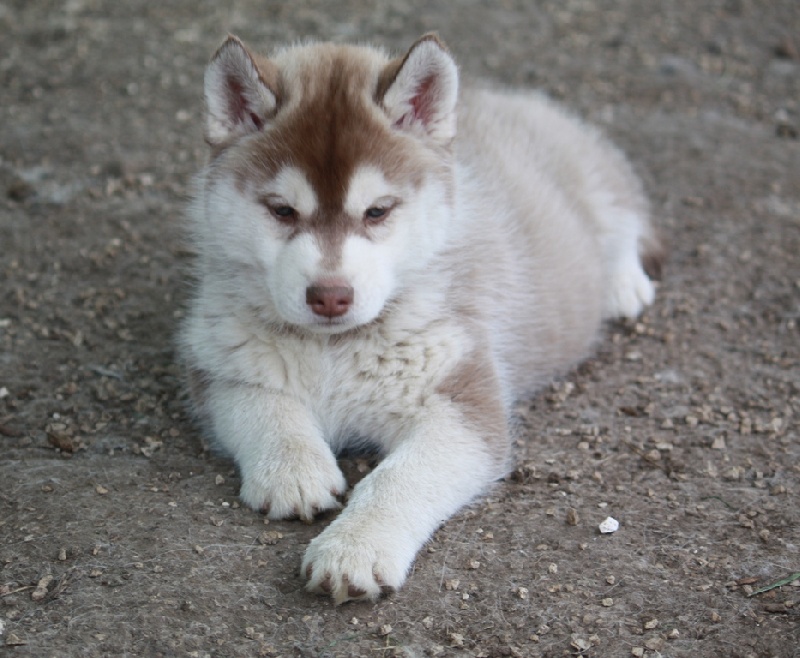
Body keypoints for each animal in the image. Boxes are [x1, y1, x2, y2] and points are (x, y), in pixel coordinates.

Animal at [180, 33, 664, 604]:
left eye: (377, 211)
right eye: (281, 211)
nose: (330, 296)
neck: (334, 348)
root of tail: (508, 97)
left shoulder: (464, 402)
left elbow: (401, 477)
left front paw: (355, 548)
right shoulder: (219, 358)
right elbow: (260, 405)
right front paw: (293, 468)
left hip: (590, 174)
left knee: (625, 217)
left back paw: (622, 283)